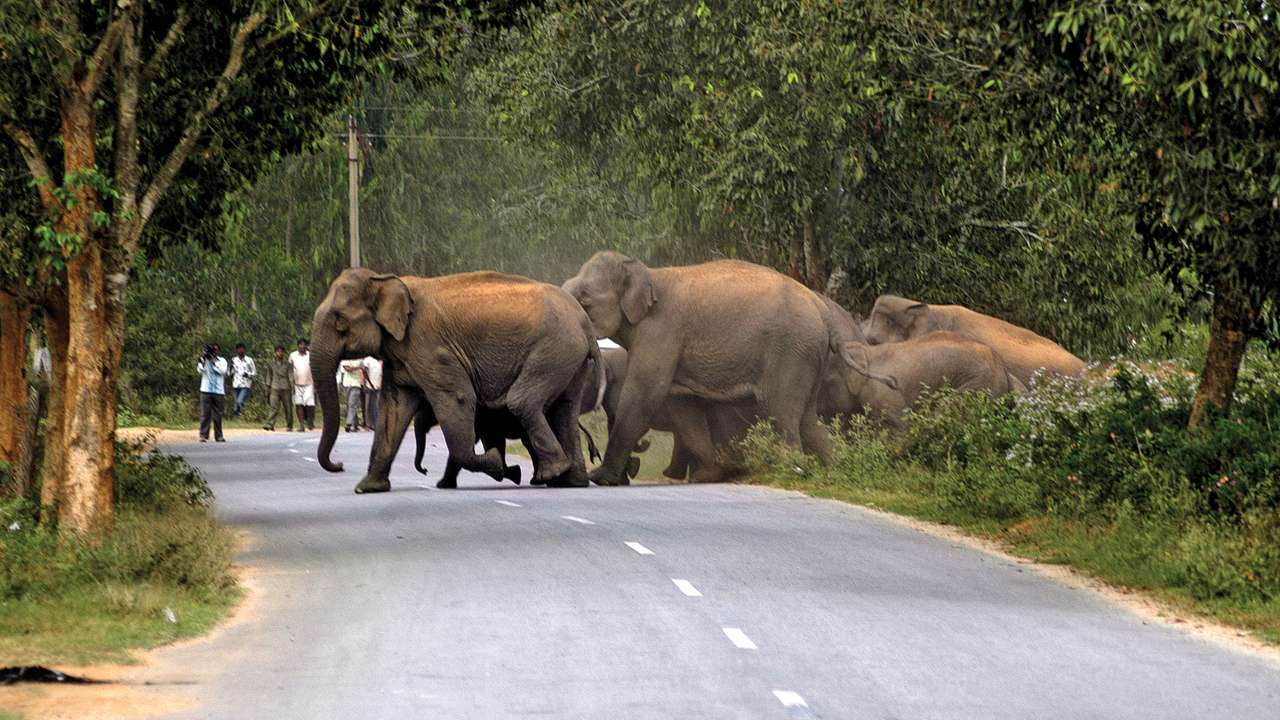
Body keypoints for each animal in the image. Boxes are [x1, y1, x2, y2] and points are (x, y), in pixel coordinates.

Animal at [311, 268, 604, 493]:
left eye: (340, 322)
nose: (340, 465)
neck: (385, 280)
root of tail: (585, 322)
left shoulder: (431, 348)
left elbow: (458, 397)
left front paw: (498, 463)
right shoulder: (400, 354)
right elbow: (394, 409)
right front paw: (368, 488)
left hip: (554, 349)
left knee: (523, 402)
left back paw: (549, 475)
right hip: (570, 358)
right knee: (564, 409)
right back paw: (570, 482)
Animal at [561, 252, 836, 486]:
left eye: (584, 296)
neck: (647, 275)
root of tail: (821, 309)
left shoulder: (661, 331)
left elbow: (643, 394)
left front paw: (601, 479)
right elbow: (683, 407)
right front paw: (707, 475)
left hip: (790, 352)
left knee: (782, 412)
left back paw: (790, 470)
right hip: (806, 357)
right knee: (807, 419)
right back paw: (830, 470)